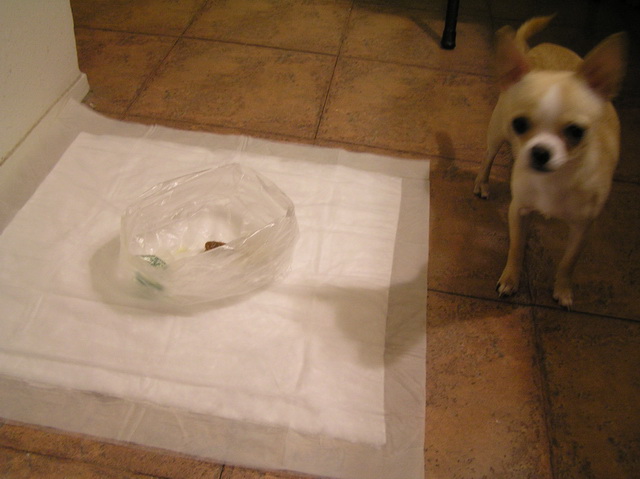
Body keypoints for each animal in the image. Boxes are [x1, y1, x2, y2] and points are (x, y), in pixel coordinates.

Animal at [474, 15, 627, 308]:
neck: (554, 180)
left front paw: (563, 289)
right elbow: (516, 247)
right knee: (488, 158)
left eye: (576, 131)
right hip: (496, 134)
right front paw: (510, 279)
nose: (540, 152)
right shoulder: (518, 210)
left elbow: (569, 261)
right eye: (519, 124)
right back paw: (482, 184)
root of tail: (531, 51)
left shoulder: (583, 228)